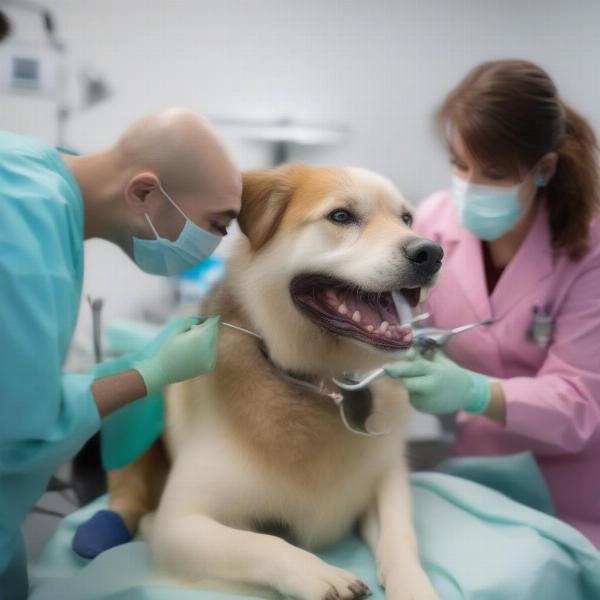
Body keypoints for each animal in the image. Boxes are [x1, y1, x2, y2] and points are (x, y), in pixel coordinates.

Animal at [108, 164, 442, 600]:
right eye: (340, 216)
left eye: (407, 219)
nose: (432, 253)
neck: (324, 385)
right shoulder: (180, 524)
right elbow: (261, 543)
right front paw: (319, 574)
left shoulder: (388, 479)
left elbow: (401, 538)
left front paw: (415, 587)